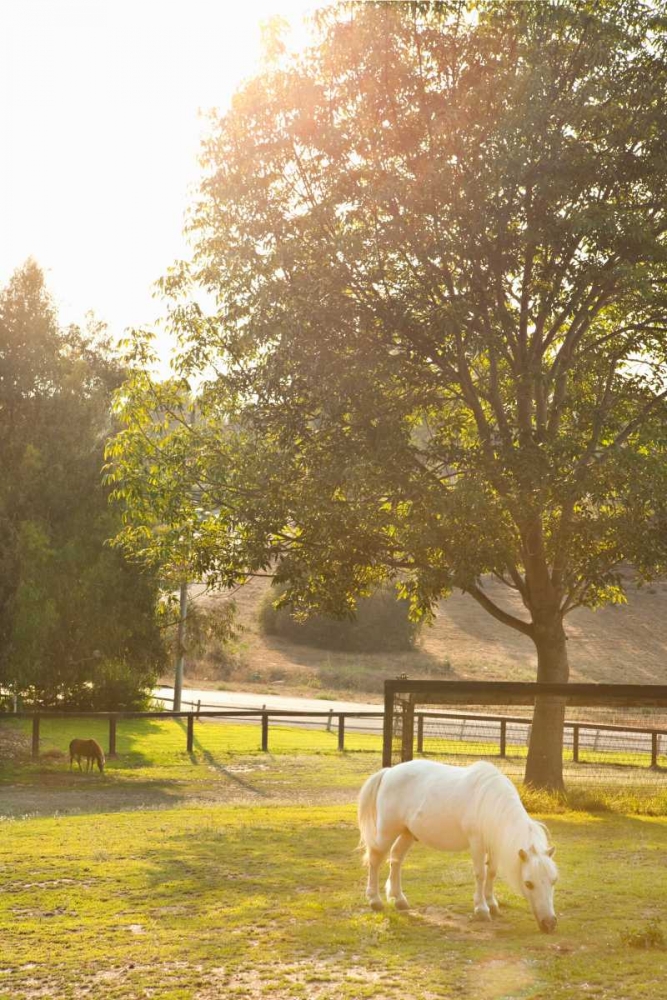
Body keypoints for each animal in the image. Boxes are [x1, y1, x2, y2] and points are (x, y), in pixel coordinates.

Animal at [358, 759, 558, 933]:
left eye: (553, 881)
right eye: (528, 883)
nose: (549, 923)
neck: (491, 802)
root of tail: (388, 772)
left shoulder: (493, 845)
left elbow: (491, 873)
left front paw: (492, 904)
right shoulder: (477, 843)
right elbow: (480, 874)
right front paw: (481, 909)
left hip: (407, 832)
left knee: (396, 858)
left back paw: (398, 899)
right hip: (387, 831)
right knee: (375, 859)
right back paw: (375, 900)